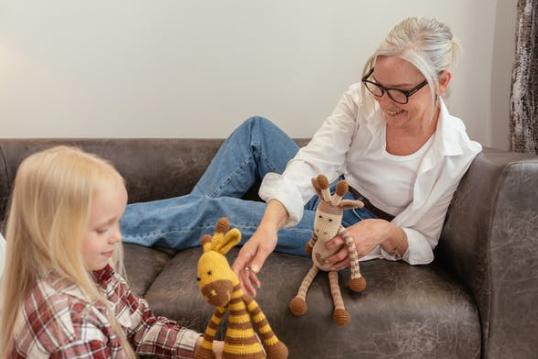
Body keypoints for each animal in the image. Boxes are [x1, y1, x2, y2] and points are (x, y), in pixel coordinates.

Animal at [192, 218, 284, 358]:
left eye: (209, 272)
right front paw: (203, 353)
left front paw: (278, 351)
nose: (212, 297)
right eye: (198, 279)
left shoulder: (247, 299)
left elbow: (261, 320)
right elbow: (212, 326)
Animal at [286, 174, 366, 326]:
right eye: (320, 216)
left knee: (335, 288)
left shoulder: (343, 234)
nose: (320, 230)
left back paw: (340, 313)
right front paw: (309, 247)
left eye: (330, 220)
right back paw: (298, 302)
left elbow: (352, 250)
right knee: (307, 279)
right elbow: (313, 239)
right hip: (315, 266)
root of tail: (322, 268)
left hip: (332, 270)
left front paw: (357, 282)